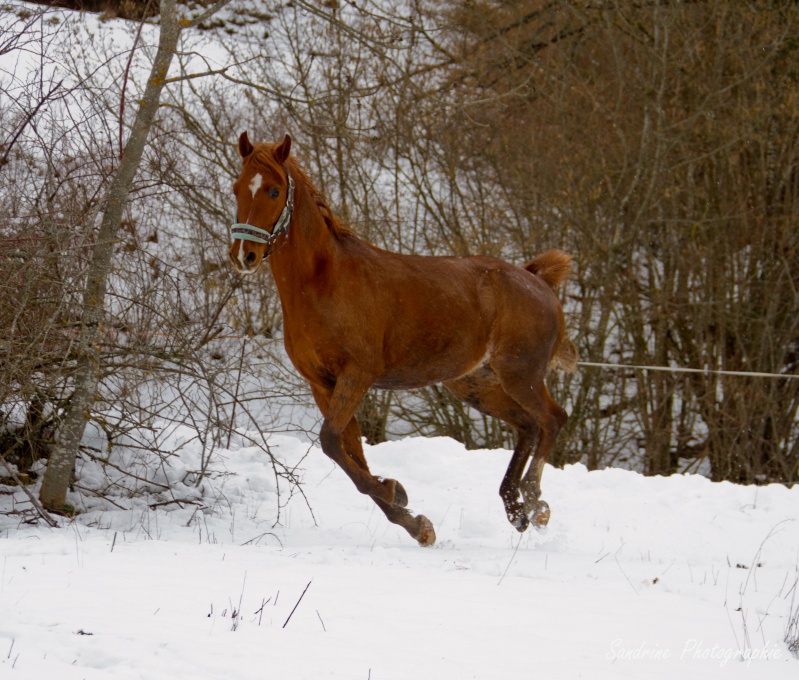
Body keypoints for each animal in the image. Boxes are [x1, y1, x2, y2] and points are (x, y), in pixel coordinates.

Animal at [228, 134, 580, 548]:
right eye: (237, 188)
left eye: (274, 190)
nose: (244, 255)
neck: (323, 282)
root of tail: (539, 283)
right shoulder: (322, 384)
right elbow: (351, 451)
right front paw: (413, 518)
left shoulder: (357, 375)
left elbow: (332, 442)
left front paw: (397, 495)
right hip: (476, 385)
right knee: (527, 426)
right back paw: (515, 508)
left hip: (520, 374)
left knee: (553, 419)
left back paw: (534, 502)